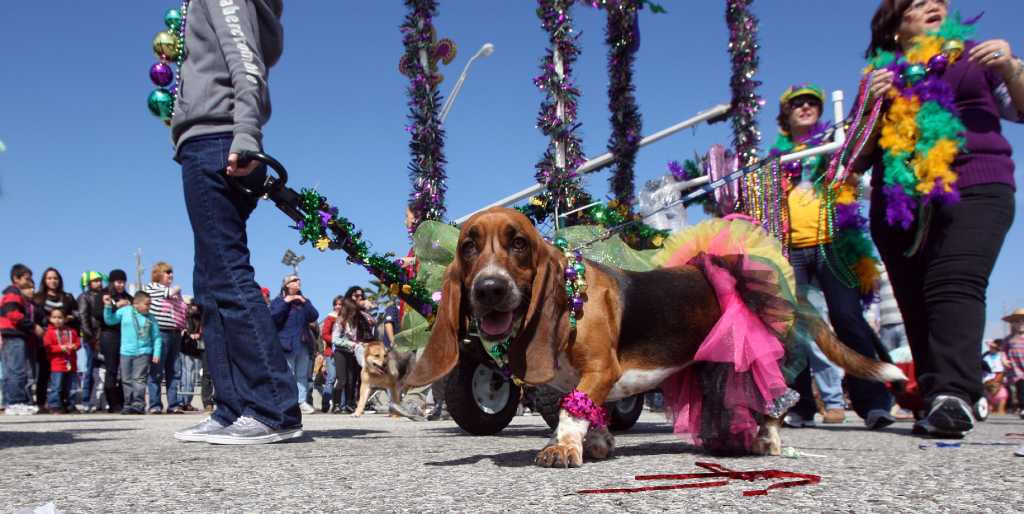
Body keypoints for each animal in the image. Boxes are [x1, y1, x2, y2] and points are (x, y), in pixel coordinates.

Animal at [407, 206, 905, 466]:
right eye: (468, 246)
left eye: (519, 244)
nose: (489, 288)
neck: (571, 296)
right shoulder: (581, 381)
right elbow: (585, 410)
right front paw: (596, 444)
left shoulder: (602, 369)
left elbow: (571, 413)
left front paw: (563, 447)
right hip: (710, 368)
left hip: (750, 360)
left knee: (771, 405)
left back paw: (767, 443)